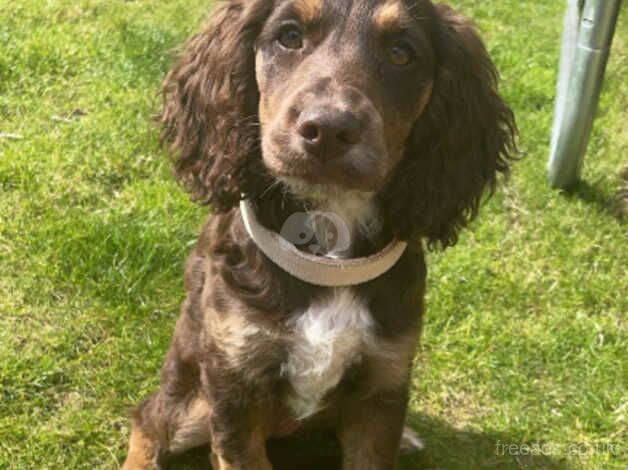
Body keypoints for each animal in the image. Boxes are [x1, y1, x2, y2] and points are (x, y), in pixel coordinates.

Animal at [121, 1, 516, 468]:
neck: (329, 244)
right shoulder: (234, 385)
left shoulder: (384, 381)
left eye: (401, 53)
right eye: (289, 37)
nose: (328, 130)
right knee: (148, 420)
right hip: (194, 401)